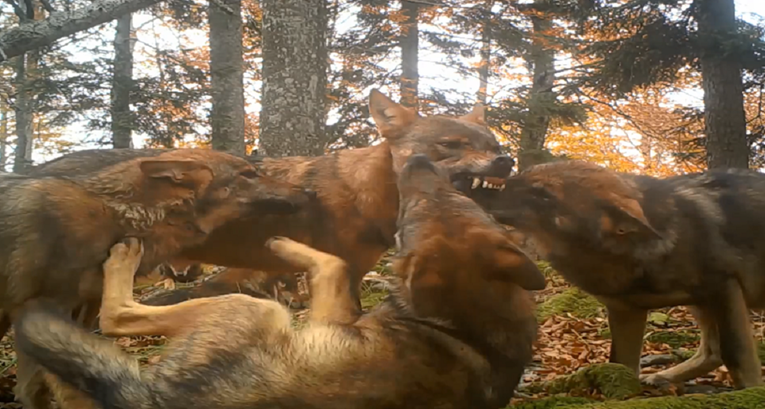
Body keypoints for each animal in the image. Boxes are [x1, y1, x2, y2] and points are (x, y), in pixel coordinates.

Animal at [16, 154, 544, 408]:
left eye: (413, 211)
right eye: (458, 204)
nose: (417, 163)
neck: (463, 313)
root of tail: (157, 402)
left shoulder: (331, 307)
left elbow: (329, 262)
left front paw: (278, 241)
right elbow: (331, 260)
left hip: (250, 309)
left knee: (117, 316)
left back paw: (125, 258)